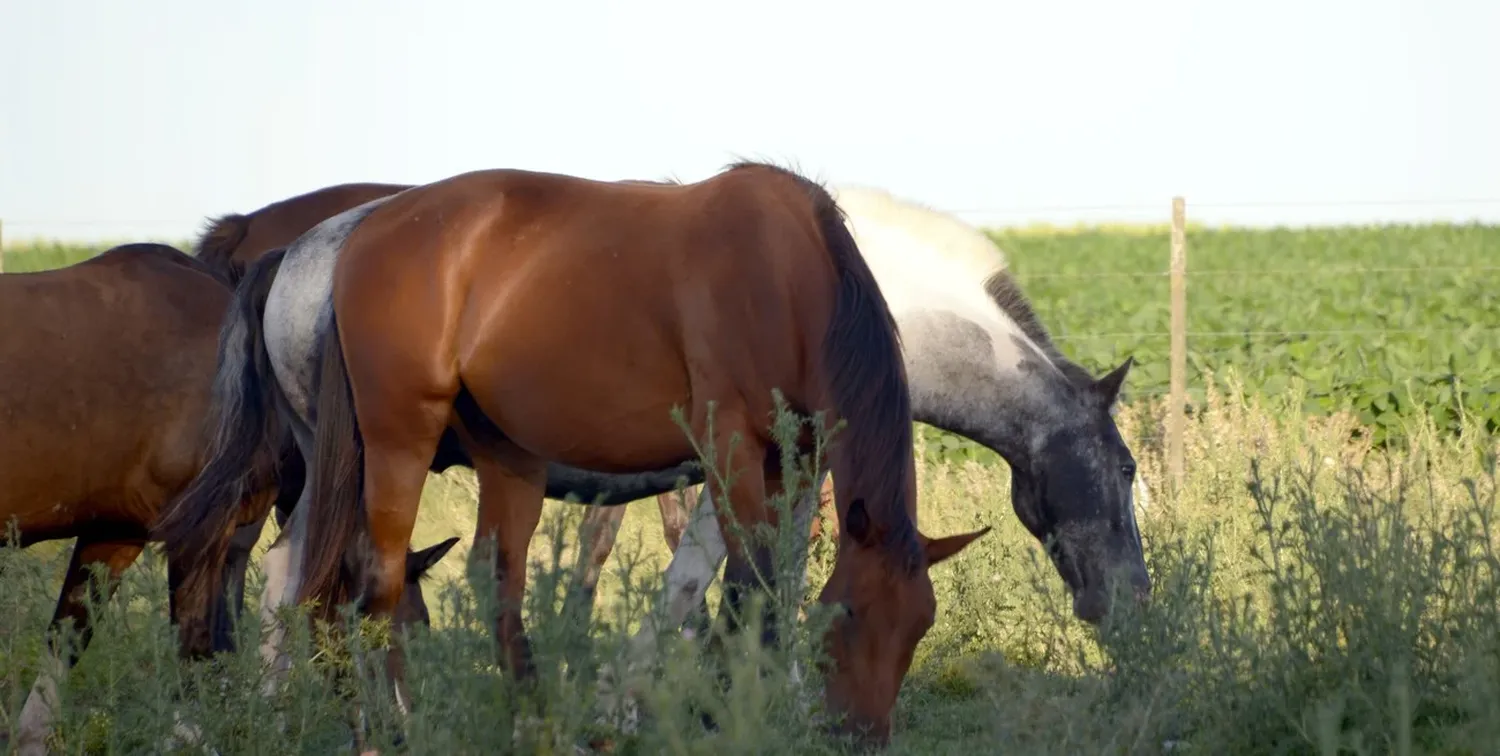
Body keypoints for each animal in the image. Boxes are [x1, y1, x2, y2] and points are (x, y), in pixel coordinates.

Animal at [155, 162, 996, 747]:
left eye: (918, 627)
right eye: (849, 617)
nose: (863, 738)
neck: (786, 277)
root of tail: (345, 243)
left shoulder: (796, 464)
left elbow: (767, 589)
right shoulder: (729, 449)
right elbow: (747, 585)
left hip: (503, 457)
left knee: (480, 580)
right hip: (396, 442)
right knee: (372, 584)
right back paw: (390, 728)